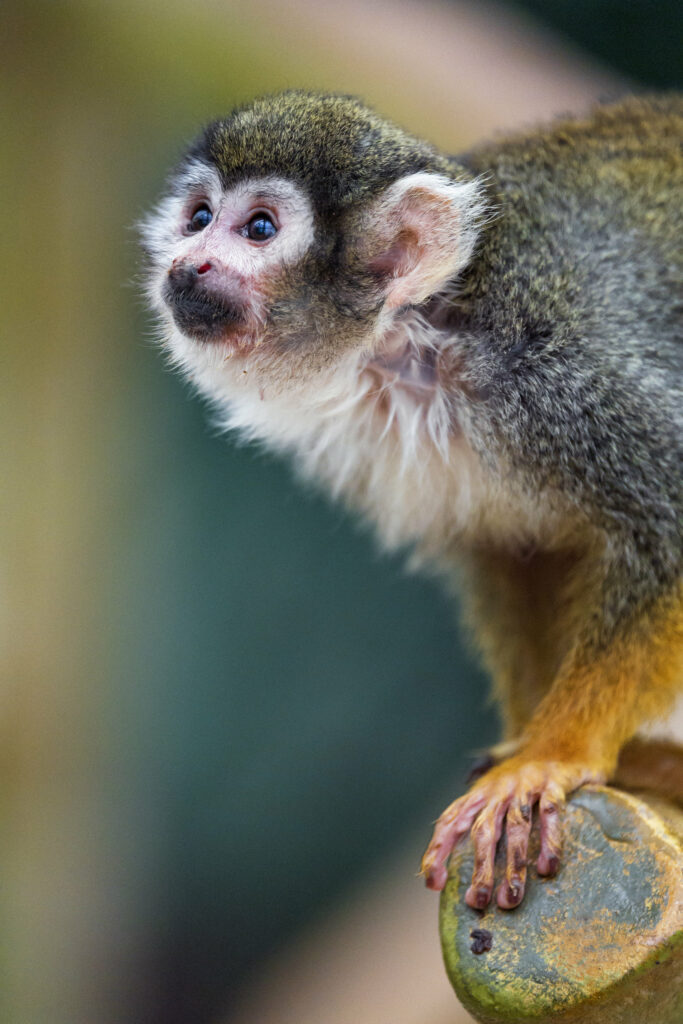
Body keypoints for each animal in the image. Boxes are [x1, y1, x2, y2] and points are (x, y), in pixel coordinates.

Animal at [141, 91, 682, 911]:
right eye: (199, 216)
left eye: (259, 228)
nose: (188, 260)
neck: (415, 337)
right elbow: (512, 552)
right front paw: (529, 743)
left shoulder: (557, 365)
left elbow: (671, 521)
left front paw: (551, 754)